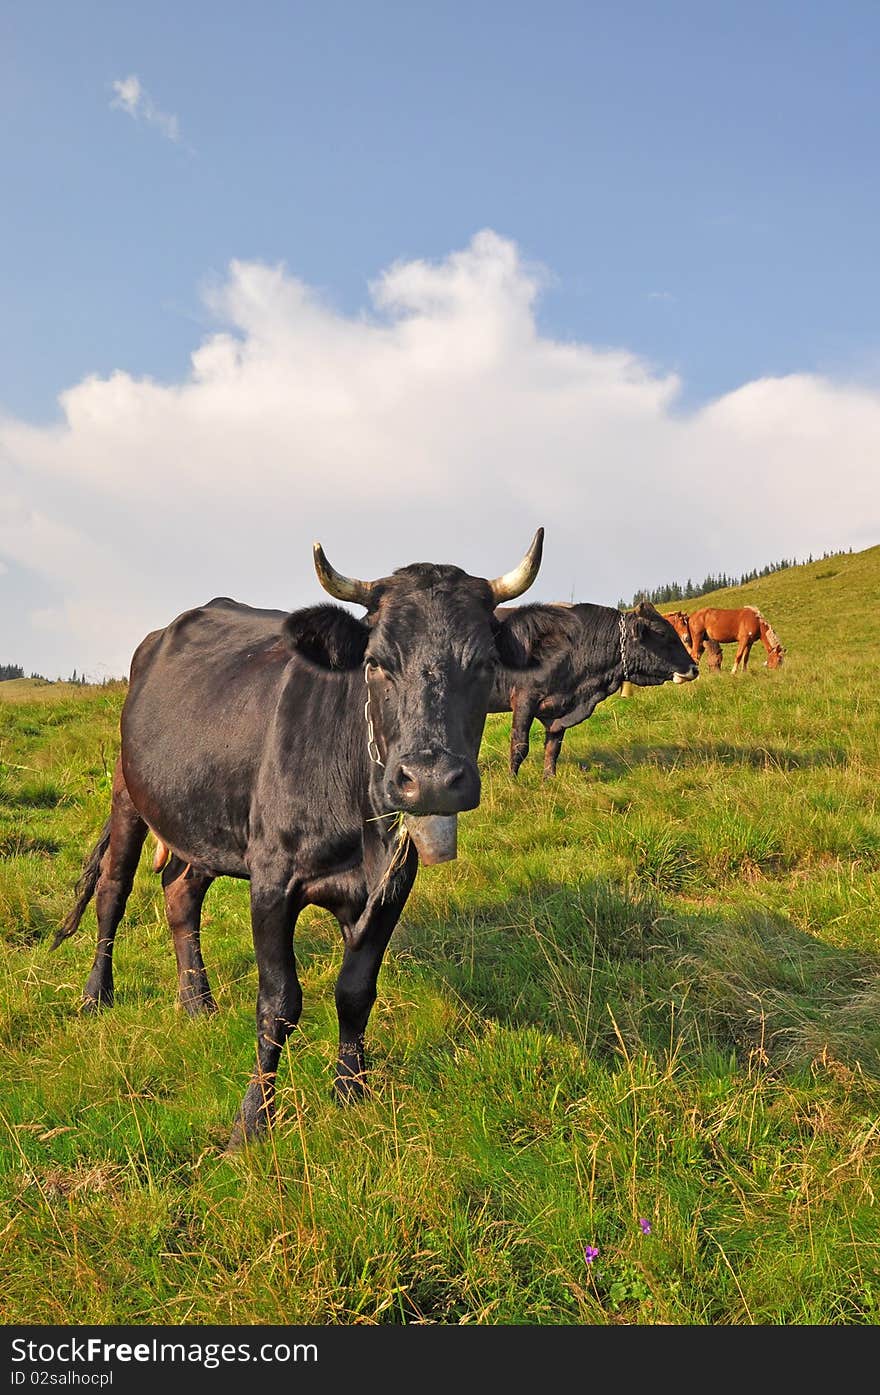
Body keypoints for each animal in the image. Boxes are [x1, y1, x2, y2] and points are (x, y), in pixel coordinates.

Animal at [56, 532, 543, 1143]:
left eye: (483, 664)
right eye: (376, 663)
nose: (430, 779)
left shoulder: (390, 885)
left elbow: (355, 991)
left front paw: (351, 1091)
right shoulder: (271, 881)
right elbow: (280, 1002)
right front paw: (252, 1122)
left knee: (180, 892)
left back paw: (197, 1003)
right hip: (128, 796)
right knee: (113, 892)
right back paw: (97, 996)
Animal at [493, 597, 700, 781]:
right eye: (661, 633)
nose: (694, 668)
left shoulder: (559, 710)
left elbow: (553, 748)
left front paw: (549, 780)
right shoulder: (524, 700)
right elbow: (519, 745)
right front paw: (512, 782)